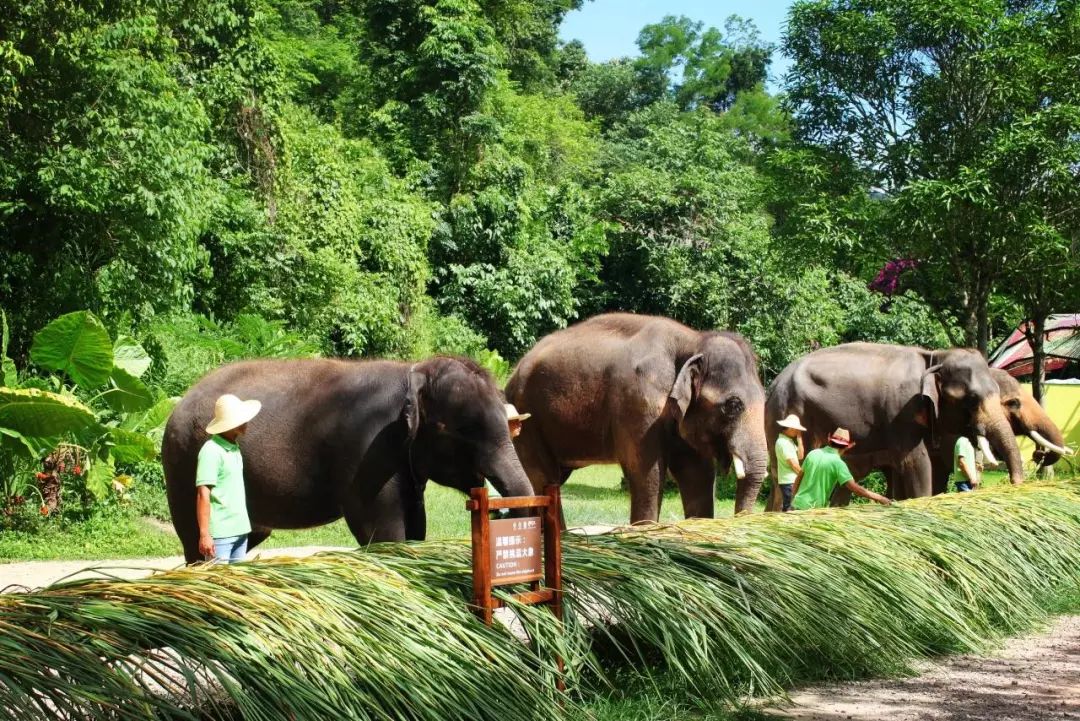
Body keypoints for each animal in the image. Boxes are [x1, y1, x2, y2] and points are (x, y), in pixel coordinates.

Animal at [163, 354, 531, 561]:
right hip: (183, 465)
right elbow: (380, 527)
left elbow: (416, 525)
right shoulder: (369, 451)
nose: (498, 509)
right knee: (197, 542)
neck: (412, 372)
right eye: (461, 432)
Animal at [505, 313, 768, 520]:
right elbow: (647, 473)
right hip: (527, 418)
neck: (692, 341)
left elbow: (698, 475)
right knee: (545, 480)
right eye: (733, 405)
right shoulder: (638, 404)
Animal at [764, 343, 1023, 507]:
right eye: (971, 399)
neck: (934, 357)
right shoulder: (901, 410)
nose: (1015, 485)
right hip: (790, 411)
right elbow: (916, 461)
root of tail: (774, 383)